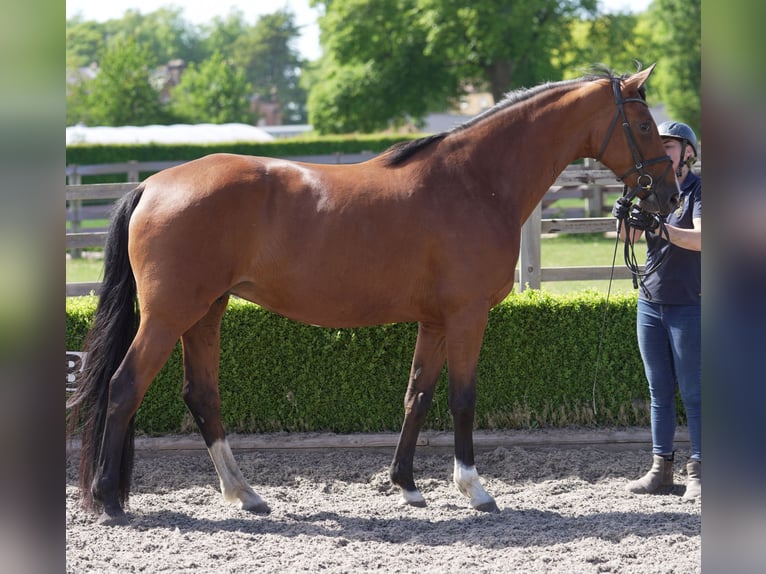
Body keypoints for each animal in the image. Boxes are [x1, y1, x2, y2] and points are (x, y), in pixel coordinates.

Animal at [67, 64, 678, 525]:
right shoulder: (467, 316)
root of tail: (152, 183)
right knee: (124, 388)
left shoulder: (435, 322)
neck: (474, 182)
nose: (668, 197)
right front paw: (474, 489)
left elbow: (417, 395)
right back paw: (109, 501)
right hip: (169, 316)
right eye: (644, 125)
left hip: (205, 312)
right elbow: (462, 398)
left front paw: (406, 484)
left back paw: (245, 495)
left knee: (201, 396)